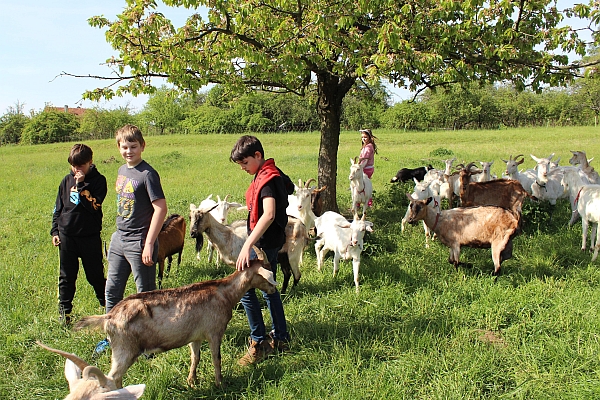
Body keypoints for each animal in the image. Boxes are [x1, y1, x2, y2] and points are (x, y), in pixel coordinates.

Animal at [74, 248, 276, 390]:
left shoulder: (196, 336)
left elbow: (195, 357)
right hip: (125, 349)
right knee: (113, 377)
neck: (224, 293)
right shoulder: (214, 332)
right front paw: (220, 384)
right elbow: (216, 358)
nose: (274, 289)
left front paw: (191, 381)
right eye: (267, 271)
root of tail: (109, 316)